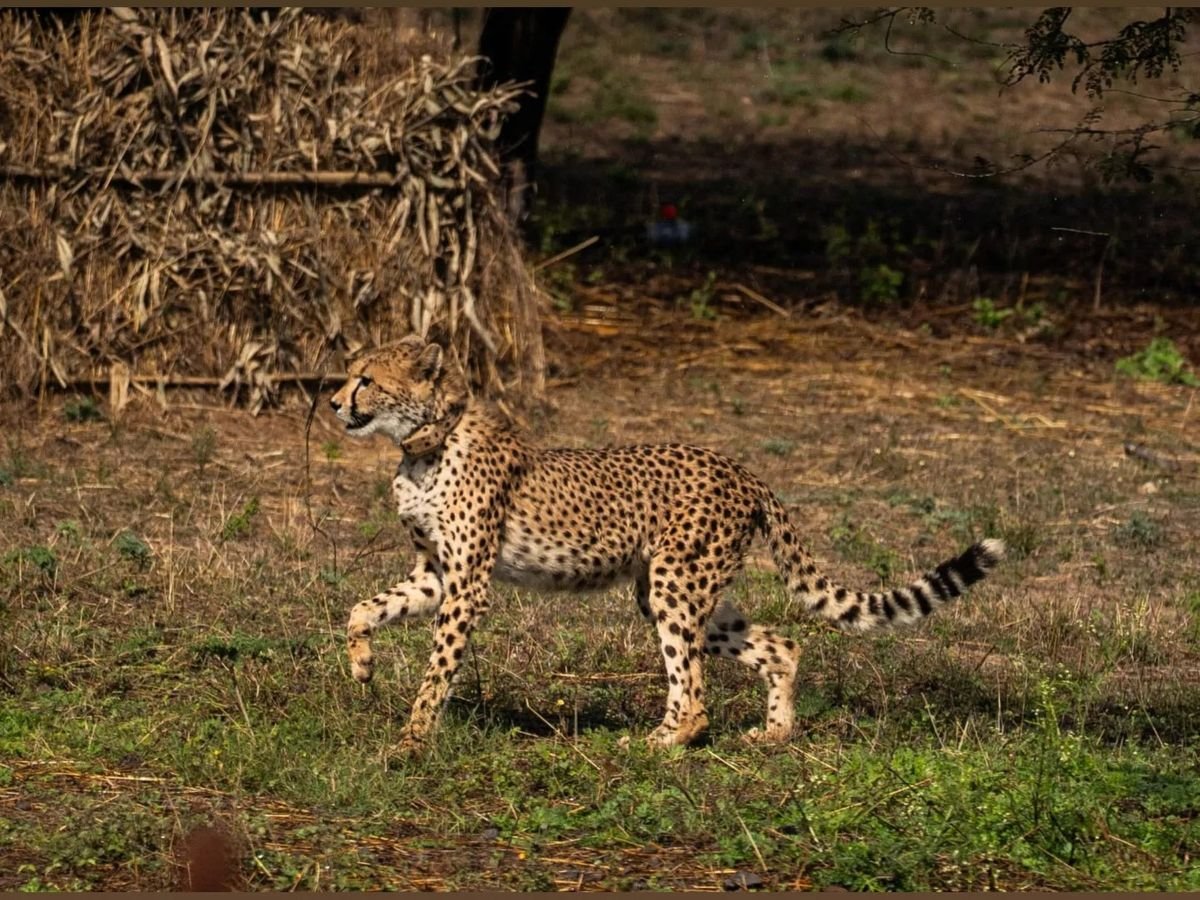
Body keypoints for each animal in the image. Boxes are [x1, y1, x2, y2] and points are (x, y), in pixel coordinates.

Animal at [329, 335, 1006, 756]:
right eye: (350, 374)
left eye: (367, 379)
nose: (333, 402)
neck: (426, 443)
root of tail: (741, 468)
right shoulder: (436, 572)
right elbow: (362, 608)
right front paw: (361, 666)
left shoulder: (468, 583)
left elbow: (436, 668)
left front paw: (413, 741)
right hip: (677, 586)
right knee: (781, 645)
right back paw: (773, 735)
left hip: (674, 583)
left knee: (695, 692)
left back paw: (660, 741)